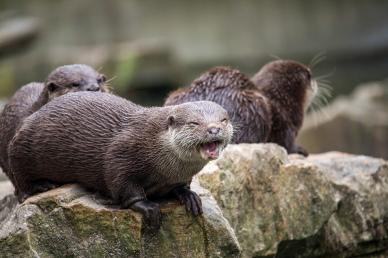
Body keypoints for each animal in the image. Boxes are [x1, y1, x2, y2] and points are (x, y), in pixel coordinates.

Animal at [9, 92, 233, 228]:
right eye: (194, 123)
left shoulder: (180, 176)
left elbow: (181, 187)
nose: (214, 129)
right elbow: (121, 183)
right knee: (19, 178)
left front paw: (189, 196)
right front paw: (148, 207)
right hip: (22, 147)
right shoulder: (122, 153)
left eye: (224, 120)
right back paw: (39, 187)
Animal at [164, 59, 318, 155]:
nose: (316, 82)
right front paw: (300, 150)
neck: (284, 101)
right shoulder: (285, 123)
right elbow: (286, 144)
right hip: (256, 108)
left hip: (175, 94)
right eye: (309, 75)